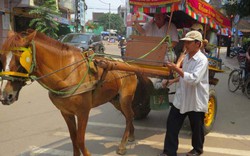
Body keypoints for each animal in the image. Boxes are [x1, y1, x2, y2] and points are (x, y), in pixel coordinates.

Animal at [0, 30, 137, 155]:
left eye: (20, 61)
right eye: (2, 59)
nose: (5, 96)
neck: (68, 74)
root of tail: (129, 66)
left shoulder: (83, 112)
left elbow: (80, 140)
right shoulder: (66, 113)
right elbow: (73, 138)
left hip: (125, 99)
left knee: (129, 115)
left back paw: (122, 145)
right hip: (115, 99)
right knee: (128, 116)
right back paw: (131, 135)